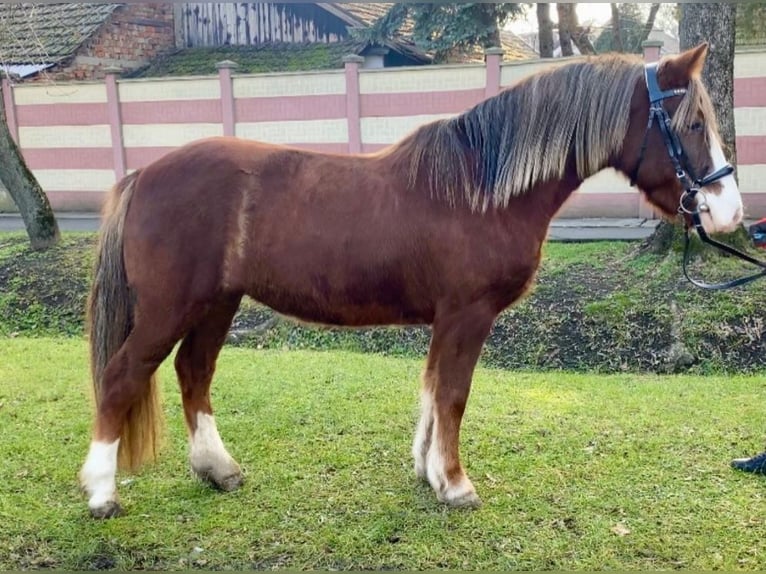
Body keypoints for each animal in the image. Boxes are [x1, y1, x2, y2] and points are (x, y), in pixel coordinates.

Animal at [78, 45, 744, 520]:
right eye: (690, 124)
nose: (729, 211)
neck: (482, 188)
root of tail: (143, 175)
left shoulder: (445, 319)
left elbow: (430, 392)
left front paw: (429, 473)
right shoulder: (468, 315)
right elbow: (452, 395)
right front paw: (455, 484)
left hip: (216, 304)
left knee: (194, 373)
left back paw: (217, 470)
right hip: (170, 308)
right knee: (121, 377)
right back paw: (103, 494)